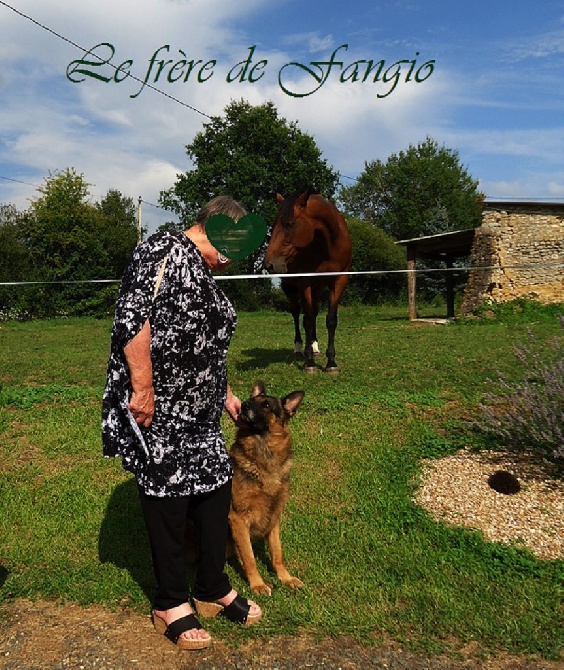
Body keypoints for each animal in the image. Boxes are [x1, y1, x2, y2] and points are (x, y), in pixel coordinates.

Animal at [228, 380, 304, 596]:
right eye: (251, 400)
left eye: (266, 405)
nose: (243, 404)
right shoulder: (237, 518)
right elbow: (250, 557)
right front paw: (258, 584)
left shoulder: (274, 517)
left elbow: (277, 553)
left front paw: (285, 578)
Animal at [262, 192, 350, 376]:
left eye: (289, 224)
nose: (268, 264)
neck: (327, 245)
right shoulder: (304, 283)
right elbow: (307, 320)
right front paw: (309, 363)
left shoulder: (339, 281)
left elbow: (331, 320)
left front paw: (331, 363)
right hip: (290, 288)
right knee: (296, 313)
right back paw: (299, 348)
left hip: (318, 287)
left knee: (314, 312)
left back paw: (314, 347)